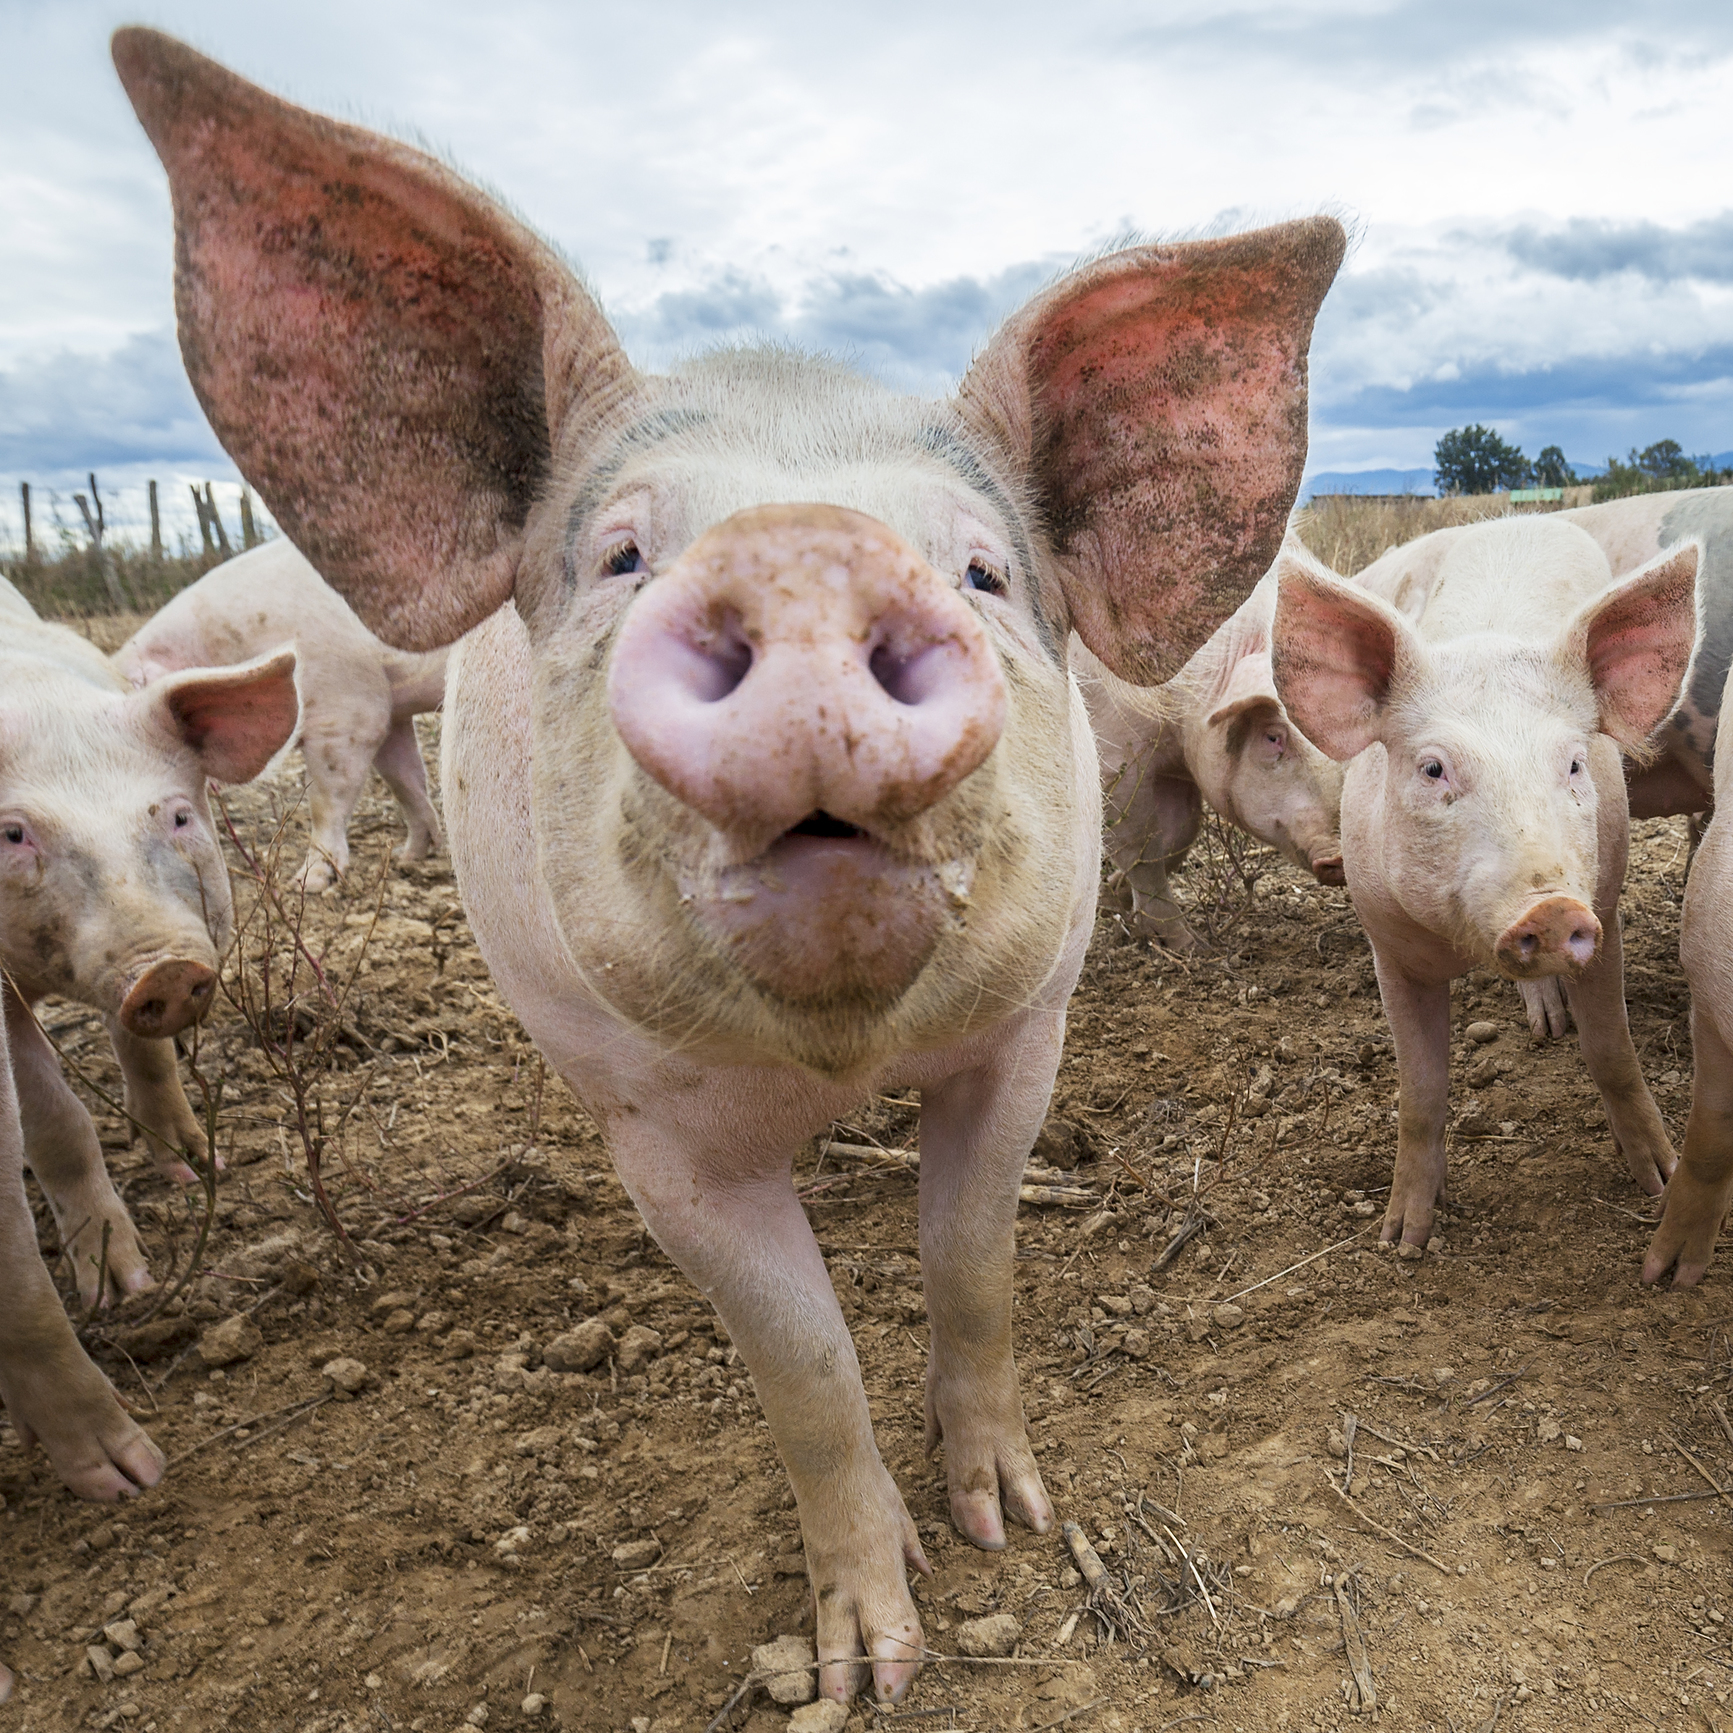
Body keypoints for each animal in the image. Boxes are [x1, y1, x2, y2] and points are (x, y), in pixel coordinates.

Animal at [0, 571, 298, 1303]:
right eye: (14, 834)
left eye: (181, 816)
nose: (163, 968)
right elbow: (53, 1117)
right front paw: (122, 1288)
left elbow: (150, 1054)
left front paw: (198, 1165)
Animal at [115, 540, 450, 894]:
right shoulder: (391, 712)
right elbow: (405, 781)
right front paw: (409, 856)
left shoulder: (348, 708)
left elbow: (326, 800)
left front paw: (306, 882)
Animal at [1074, 564, 1344, 949]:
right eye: (1273, 736)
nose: (1339, 855)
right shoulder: (1116, 758)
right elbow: (1141, 846)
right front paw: (1191, 946)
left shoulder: (1174, 770)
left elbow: (1180, 834)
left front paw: (1114, 898)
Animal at [1268, 512, 1698, 1261]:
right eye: (1433, 768)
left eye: (1574, 764)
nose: (1550, 906)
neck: (1461, 944)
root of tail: (1523, 516)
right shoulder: (1387, 946)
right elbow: (1420, 1091)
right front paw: (1404, 1241)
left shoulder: (1605, 905)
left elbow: (1611, 1050)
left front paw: (1659, 1178)